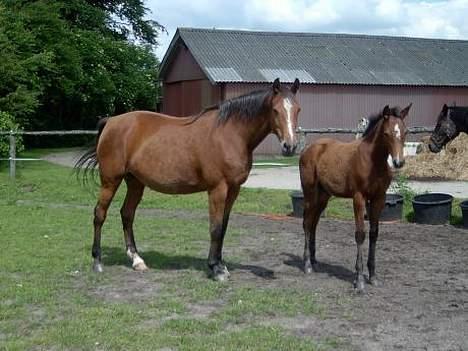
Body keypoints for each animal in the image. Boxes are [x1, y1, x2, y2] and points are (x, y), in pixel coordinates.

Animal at [75, 78, 302, 282]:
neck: (230, 134)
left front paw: (221, 265)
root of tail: (111, 122)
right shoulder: (217, 189)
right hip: (110, 180)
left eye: (297, 110)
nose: (289, 146)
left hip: (135, 182)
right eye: (275, 110)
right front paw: (215, 269)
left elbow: (223, 227)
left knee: (127, 214)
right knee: (100, 214)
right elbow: (215, 228)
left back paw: (137, 260)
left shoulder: (233, 190)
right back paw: (97, 261)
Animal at [298, 103, 412, 292]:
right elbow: (360, 234)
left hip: (323, 197)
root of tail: (308, 149)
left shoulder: (379, 199)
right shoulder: (358, 198)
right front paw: (359, 280)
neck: (373, 162)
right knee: (307, 223)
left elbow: (374, 234)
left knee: (314, 223)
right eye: (386, 133)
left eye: (405, 131)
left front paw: (372, 276)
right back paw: (307, 264)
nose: (398, 162)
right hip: (310, 193)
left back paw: (314, 261)